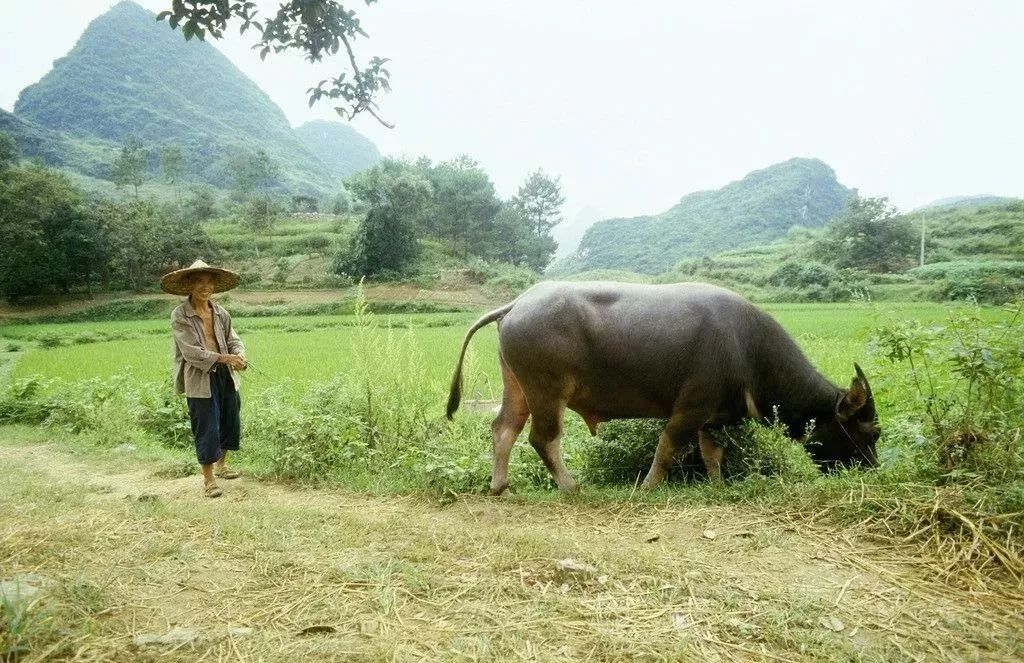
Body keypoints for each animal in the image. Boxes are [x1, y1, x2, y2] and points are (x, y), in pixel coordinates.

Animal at [448, 280, 880, 491]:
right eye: (872, 432)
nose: (873, 470)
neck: (747, 349)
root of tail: (517, 304)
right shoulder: (690, 408)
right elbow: (669, 447)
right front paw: (649, 486)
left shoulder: (714, 417)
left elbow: (711, 454)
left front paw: (717, 485)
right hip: (548, 391)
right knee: (543, 438)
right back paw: (571, 486)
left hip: (518, 386)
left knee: (504, 428)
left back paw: (500, 486)